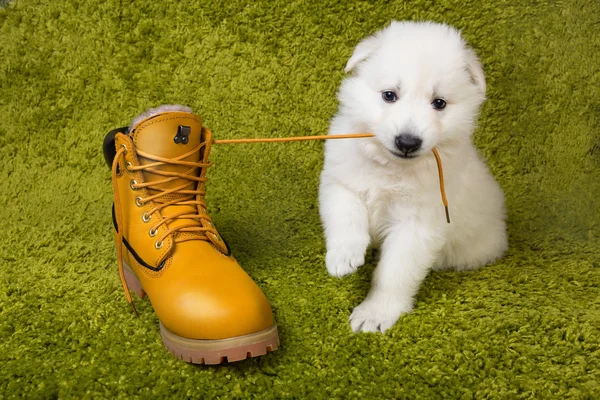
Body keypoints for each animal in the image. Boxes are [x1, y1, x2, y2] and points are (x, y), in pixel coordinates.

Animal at [318, 21, 506, 334]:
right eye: (389, 95)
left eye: (439, 103)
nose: (408, 142)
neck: (390, 167)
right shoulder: (341, 182)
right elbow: (346, 217)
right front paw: (343, 256)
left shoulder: (417, 225)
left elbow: (393, 273)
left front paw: (375, 313)